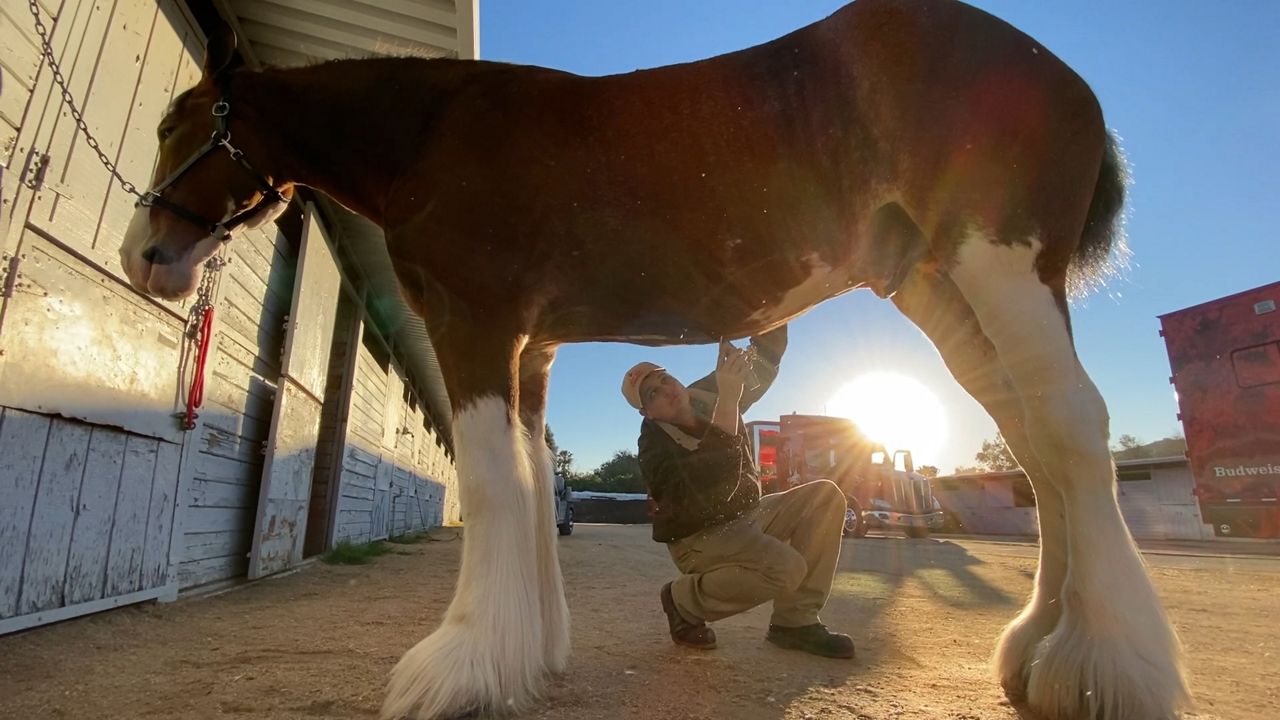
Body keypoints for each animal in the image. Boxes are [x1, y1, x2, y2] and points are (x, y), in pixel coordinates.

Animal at [120, 1, 1187, 717]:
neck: (435, 132)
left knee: (1070, 428)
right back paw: (1038, 647)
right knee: (1035, 446)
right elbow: (533, 486)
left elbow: (495, 485)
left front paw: (460, 667)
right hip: (947, 294)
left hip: (1000, 265)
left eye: (178, 123)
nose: (146, 255)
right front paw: (531, 655)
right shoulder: (533, 348)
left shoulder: (475, 324)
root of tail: (1057, 72)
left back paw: (1110, 666)